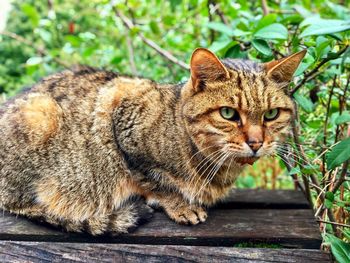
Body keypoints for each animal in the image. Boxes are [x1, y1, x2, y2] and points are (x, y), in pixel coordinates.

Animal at [0, 47, 304, 235]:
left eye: (271, 114)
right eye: (228, 113)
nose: (256, 142)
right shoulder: (121, 118)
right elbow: (154, 180)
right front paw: (179, 205)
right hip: (40, 114)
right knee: (19, 204)